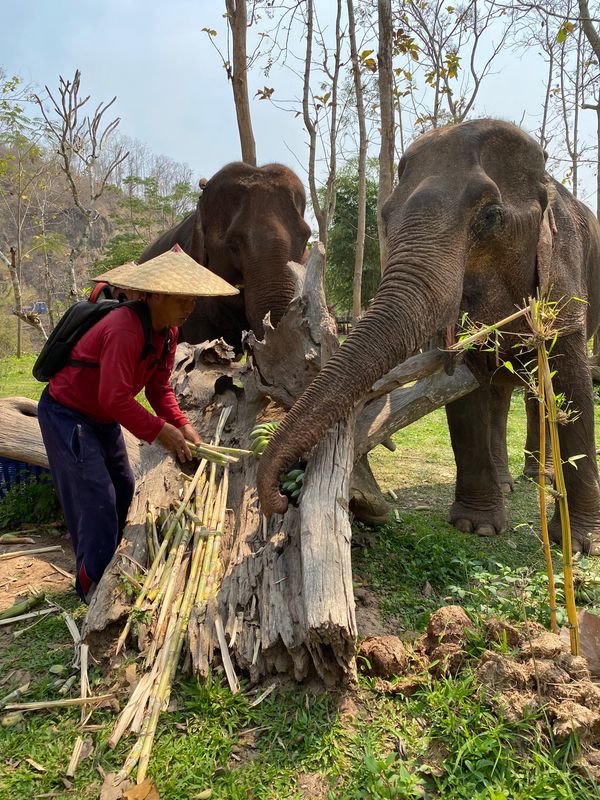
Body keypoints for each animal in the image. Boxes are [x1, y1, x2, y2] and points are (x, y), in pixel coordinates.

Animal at [257, 118, 600, 555]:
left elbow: (571, 384)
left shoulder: (565, 270)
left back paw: (543, 479)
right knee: (500, 392)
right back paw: (508, 483)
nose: (280, 499)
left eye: (491, 216)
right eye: (385, 217)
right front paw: (477, 527)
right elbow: (467, 392)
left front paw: (582, 544)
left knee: (536, 391)